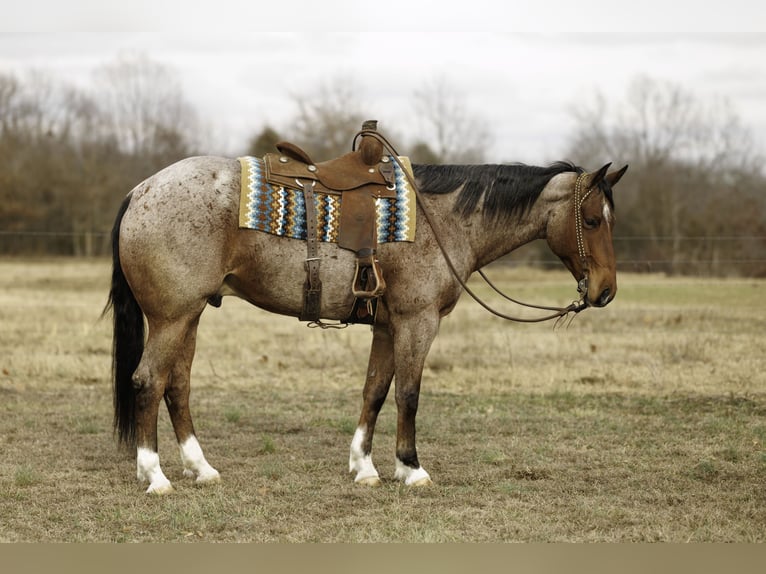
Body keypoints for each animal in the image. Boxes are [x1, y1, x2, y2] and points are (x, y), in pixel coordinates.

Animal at [106, 142, 628, 494]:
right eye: (592, 221)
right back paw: (155, 475)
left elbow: (374, 390)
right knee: (148, 381)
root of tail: (140, 190)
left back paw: (201, 468)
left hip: (190, 316)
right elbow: (408, 394)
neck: (444, 219)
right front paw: (411, 468)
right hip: (172, 317)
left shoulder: (386, 325)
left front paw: (364, 467)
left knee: (177, 385)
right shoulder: (418, 321)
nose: (605, 291)